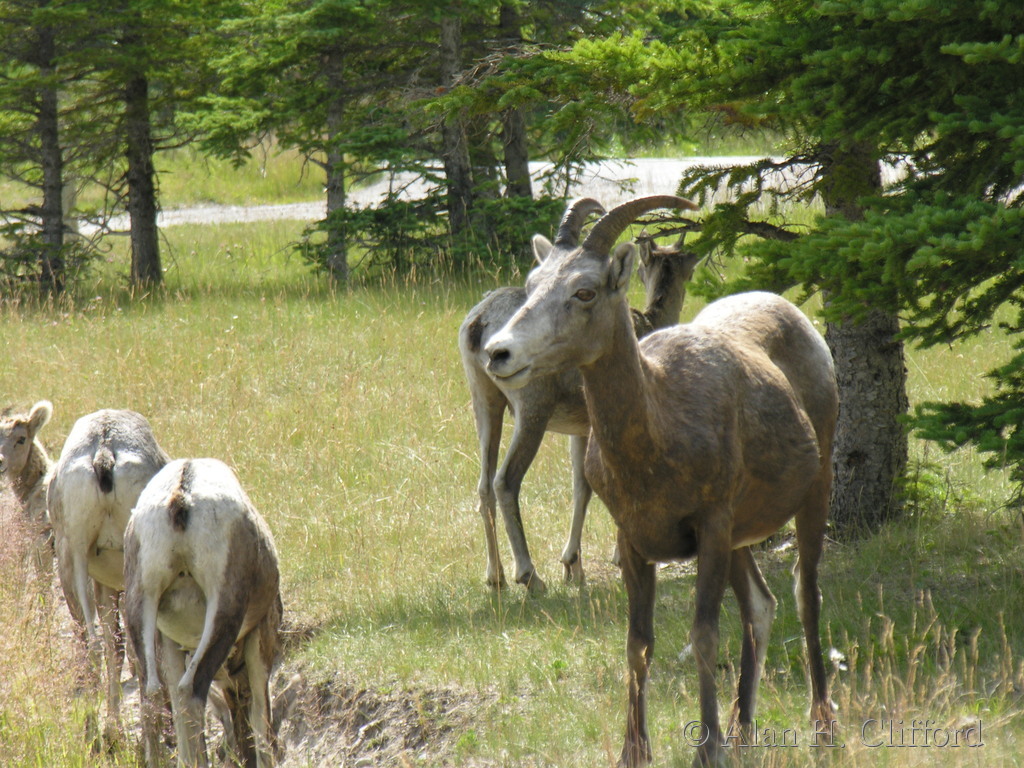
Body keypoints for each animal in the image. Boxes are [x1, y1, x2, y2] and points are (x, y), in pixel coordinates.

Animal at [47, 408, 170, 741]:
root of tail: (104, 453)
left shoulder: (104, 584)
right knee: (133, 649)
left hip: (76, 554)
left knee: (96, 644)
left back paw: (97, 729)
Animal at [124, 457, 281, 768]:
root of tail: (181, 497)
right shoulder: (260, 639)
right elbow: (262, 718)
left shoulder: (170, 641)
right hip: (223, 610)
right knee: (191, 690)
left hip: (142, 603)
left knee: (155, 693)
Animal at [459, 199, 701, 594]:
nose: (499, 352)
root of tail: (478, 324)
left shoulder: (580, 429)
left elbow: (580, 486)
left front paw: (574, 567)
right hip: (532, 411)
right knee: (504, 482)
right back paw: (530, 577)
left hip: (485, 402)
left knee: (483, 486)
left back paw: (495, 578)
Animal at [484, 195, 837, 767]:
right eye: (533, 280)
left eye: (585, 290)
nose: (499, 352)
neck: (657, 437)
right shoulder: (633, 538)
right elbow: (638, 643)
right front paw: (636, 751)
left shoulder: (711, 526)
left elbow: (704, 635)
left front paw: (707, 750)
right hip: (742, 538)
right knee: (761, 608)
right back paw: (743, 732)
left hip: (814, 491)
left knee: (806, 596)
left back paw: (821, 727)